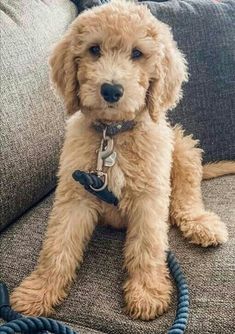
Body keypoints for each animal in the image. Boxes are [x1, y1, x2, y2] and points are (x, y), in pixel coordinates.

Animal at [11, 0, 233, 320]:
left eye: (137, 53)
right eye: (94, 49)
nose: (111, 90)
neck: (113, 134)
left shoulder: (149, 196)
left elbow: (148, 246)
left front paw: (147, 291)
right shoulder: (75, 193)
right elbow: (58, 244)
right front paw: (38, 290)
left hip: (182, 148)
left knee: (186, 197)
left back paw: (200, 223)